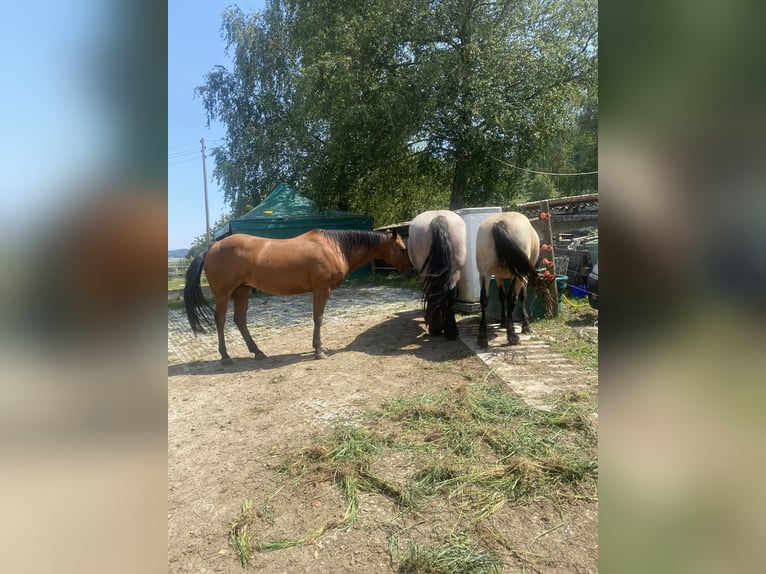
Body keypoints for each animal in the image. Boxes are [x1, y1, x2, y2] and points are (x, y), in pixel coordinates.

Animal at [184, 230, 414, 364]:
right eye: (403, 248)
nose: (411, 271)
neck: (334, 247)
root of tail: (212, 247)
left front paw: (319, 347)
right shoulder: (321, 289)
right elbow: (318, 318)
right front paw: (319, 349)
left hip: (242, 291)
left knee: (239, 320)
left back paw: (257, 352)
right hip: (224, 294)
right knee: (221, 321)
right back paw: (225, 356)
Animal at [408, 210, 468, 338]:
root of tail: (438, 218)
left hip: (428, 273)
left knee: (434, 294)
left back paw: (435, 329)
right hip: (455, 271)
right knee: (449, 294)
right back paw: (451, 332)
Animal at [476, 212, 556, 346]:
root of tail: (499, 223)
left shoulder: (498, 276)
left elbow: (500, 296)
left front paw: (503, 321)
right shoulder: (523, 277)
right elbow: (522, 297)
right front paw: (526, 325)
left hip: (484, 272)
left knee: (484, 298)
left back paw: (482, 336)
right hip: (519, 275)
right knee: (511, 297)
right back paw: (512, 335)